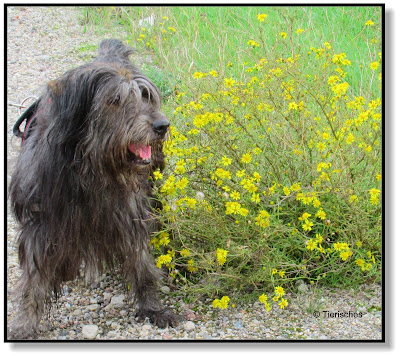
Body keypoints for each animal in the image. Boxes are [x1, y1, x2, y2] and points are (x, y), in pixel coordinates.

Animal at [7, 39, 179, 340]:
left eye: (146, 95)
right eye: (115, 99)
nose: (162, 125)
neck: (94, 169)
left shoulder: (132, 213)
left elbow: (142, 262)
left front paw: (153, 308)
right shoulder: (42, 224)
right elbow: (34, 278)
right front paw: (24, 324)